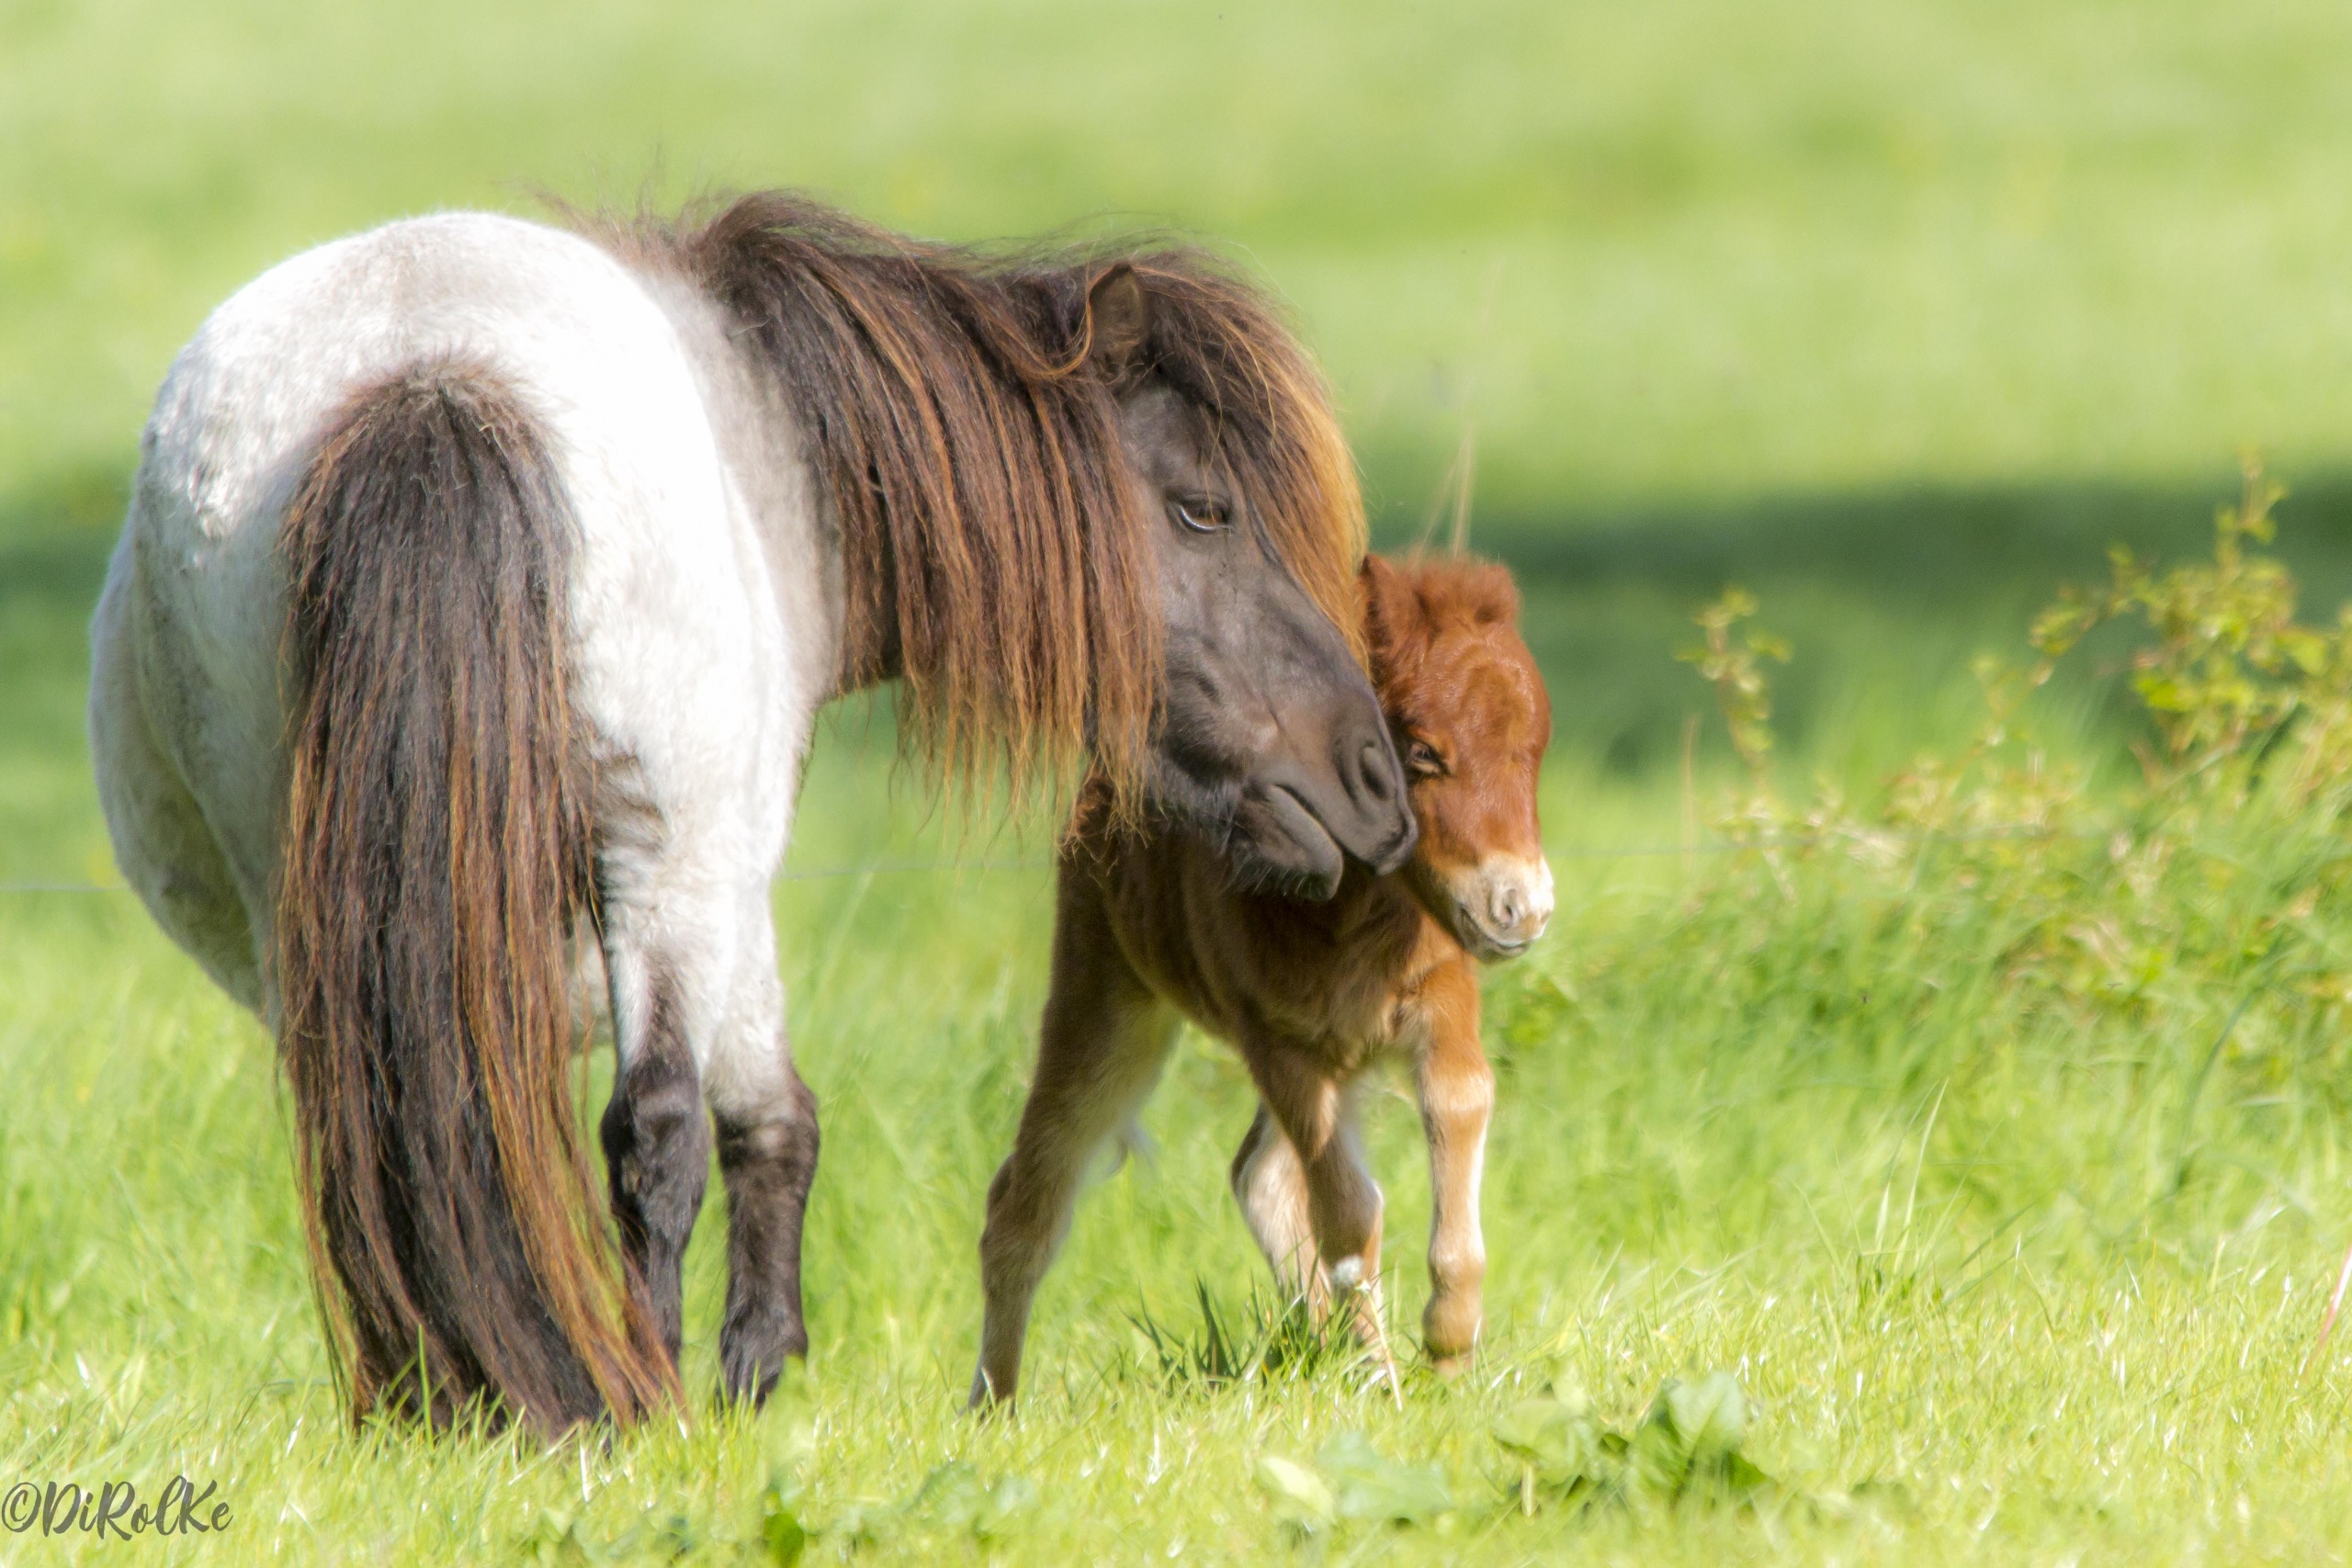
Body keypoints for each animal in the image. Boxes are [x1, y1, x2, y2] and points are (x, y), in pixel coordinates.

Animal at [86, 192, 1411, 1438]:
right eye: (1203, 510)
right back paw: (640, 1393)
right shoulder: (731, 872)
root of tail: (431, 371)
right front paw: (746, 1369)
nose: (1375, 782)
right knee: (653, 1130)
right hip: (667, 862)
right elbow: (768, 1119)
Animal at [964, 554, 1552, 1410]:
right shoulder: (1278, 1042)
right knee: (1029, 1197)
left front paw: (1447, 1350)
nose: (1522, 908)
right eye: (1421, 751)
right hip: (1109, 997)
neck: (1354, 907)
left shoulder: (1441, 1006)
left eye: (1536, 749)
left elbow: (1460, 1107)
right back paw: (992, 1406)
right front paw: (1385, 1383)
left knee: (1259, 1173)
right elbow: (1349, 1215)